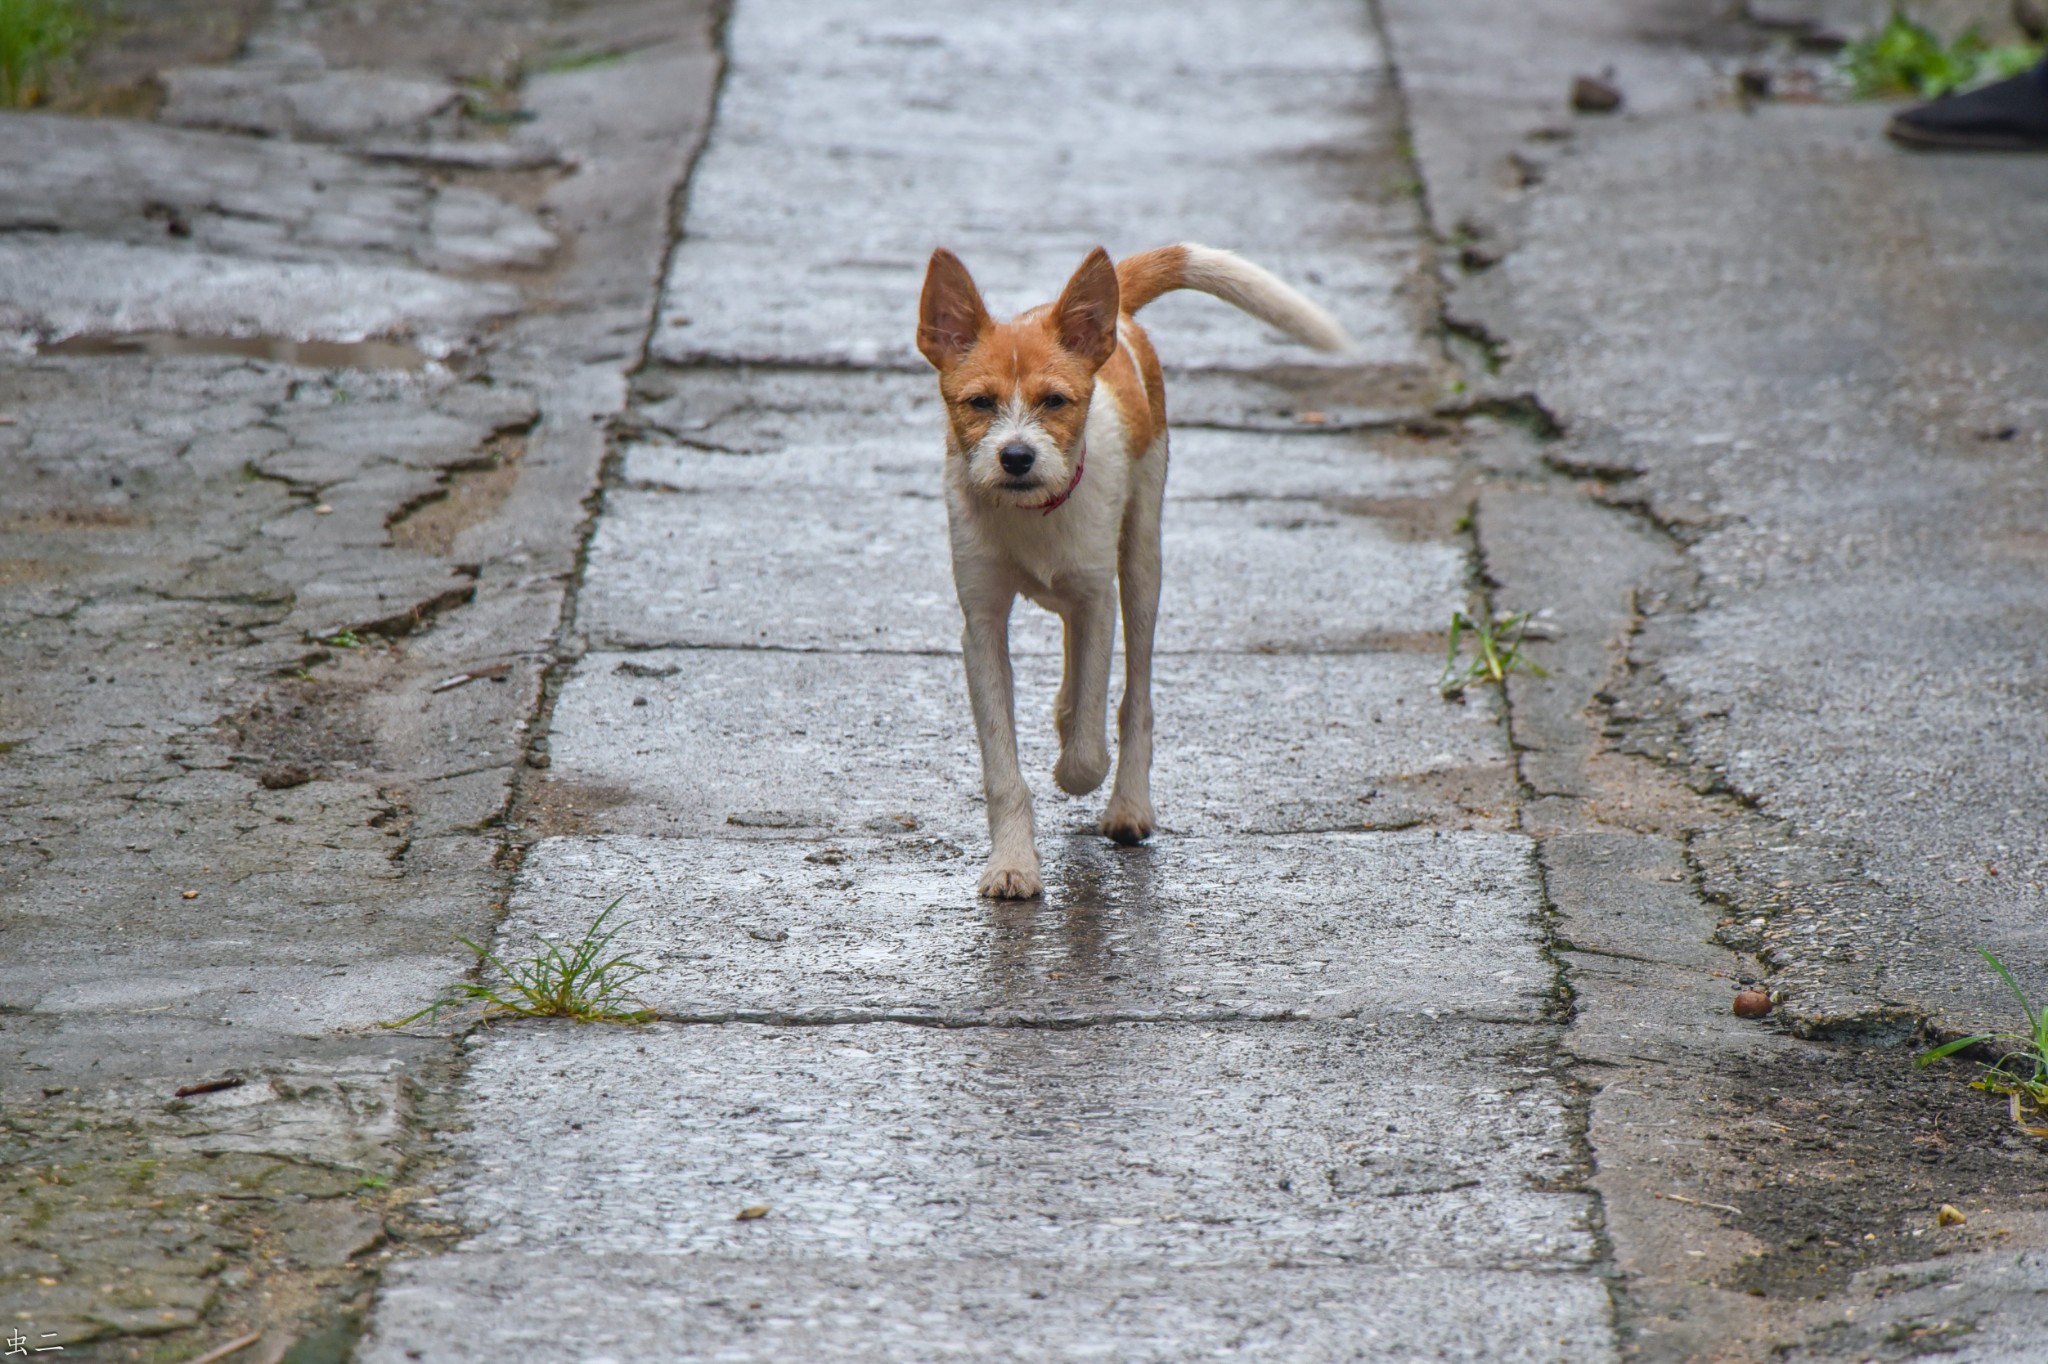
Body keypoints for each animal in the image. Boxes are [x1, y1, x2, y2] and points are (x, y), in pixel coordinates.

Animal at [917, 244, 1343, 897]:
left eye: (1055, 401)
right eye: (980, 403)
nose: (1016, 457)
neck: (1034, 511)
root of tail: (1117, 316)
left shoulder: (1100, 602)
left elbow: (1091, 743)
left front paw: (1076, 771)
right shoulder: (981, 623)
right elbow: (1001, 764)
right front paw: (1012, 863)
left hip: (1143, 563)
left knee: (1134, 697)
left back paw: (1128, 805)